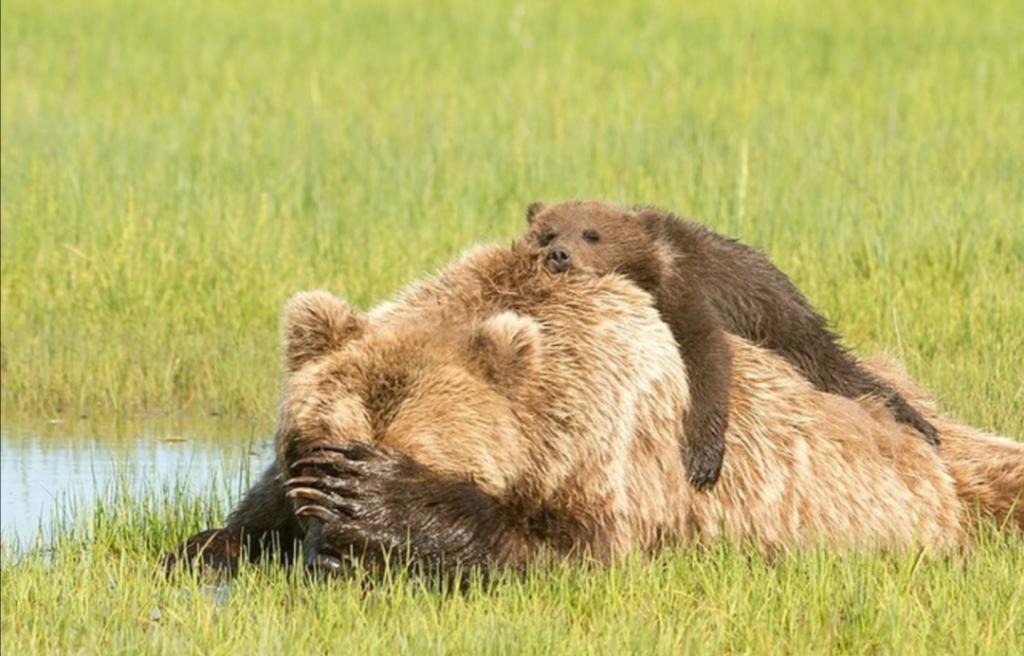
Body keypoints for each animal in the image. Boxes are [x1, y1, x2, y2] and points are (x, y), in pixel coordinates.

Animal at [163, 243, 1019, 577]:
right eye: (314, 449)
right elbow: (240, 524)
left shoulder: (621, 445)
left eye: (416, 454)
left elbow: (581, 548)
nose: (337, 553)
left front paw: (396, 514)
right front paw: (207, 546)